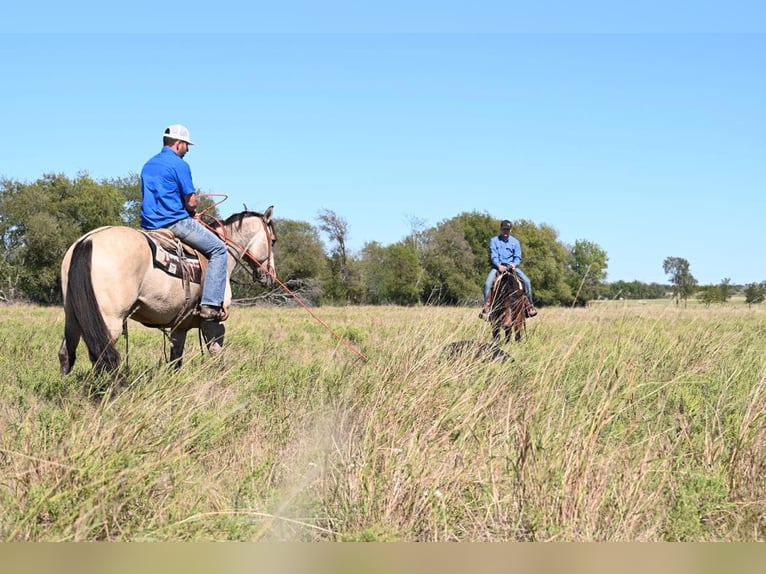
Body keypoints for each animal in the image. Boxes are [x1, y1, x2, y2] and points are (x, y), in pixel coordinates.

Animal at [59, 207, 276, 378]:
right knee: (102, 357)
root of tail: (87, 241)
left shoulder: (180, 326)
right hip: (109, 322)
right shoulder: (213, 323)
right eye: (273, 240)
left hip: (74, 316)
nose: (271, 277)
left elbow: (175, 360)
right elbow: (216, 354)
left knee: (66, 353)